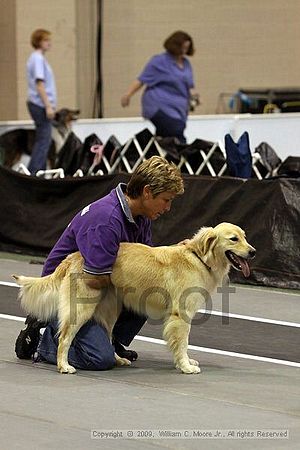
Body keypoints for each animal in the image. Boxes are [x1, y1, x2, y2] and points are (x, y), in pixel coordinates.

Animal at [14, 223, 255, 374]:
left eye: (245, 236)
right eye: (234, 239)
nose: (253, 252)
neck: (200, 258)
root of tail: (74, 256)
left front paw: (187, 361)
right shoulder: (180, 316)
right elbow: (182, 343)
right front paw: (186, 366)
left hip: (111, 309)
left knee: (108, 336)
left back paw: (119, 359)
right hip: (82, 308)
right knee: (63, 338)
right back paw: (62, 365)